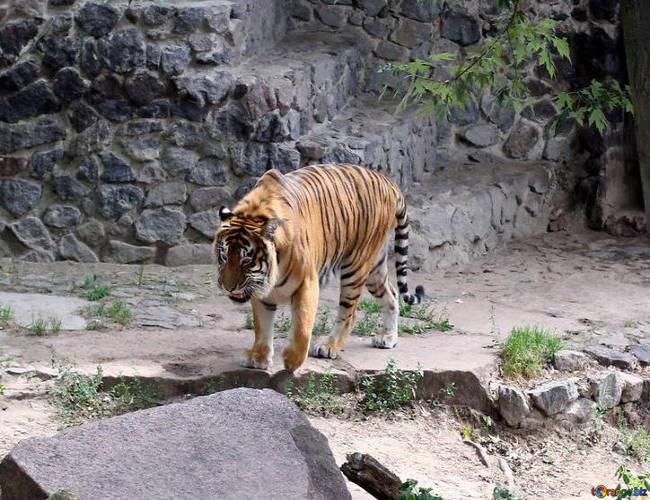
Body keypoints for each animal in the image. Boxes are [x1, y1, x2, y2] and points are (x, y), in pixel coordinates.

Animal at [214, 162, 426, 374]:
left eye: (246, 261)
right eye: (224, 256)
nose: (228, 287)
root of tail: (389, 182)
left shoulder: (306, 283)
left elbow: (302, 327)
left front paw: (292, 361)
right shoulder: (260, 288)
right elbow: (262, 326)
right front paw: (258, 358)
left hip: (356, 266)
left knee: (350, 312)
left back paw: (329, 346)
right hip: (375, 267)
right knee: (391, 294)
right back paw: (388, 337)